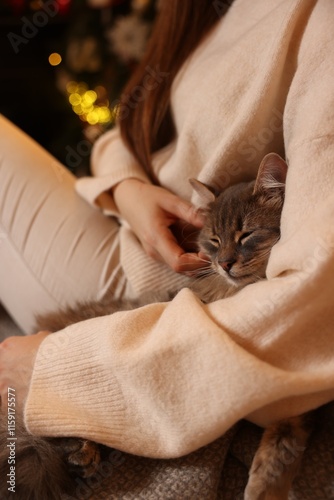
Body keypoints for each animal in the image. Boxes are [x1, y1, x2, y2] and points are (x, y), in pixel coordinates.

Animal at [0, 152, 314, 500]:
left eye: (246, 235)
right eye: (215, 241)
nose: (225, 263)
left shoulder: (293, 394)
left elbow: (283, 444)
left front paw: (266, 486)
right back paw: (82, 452)